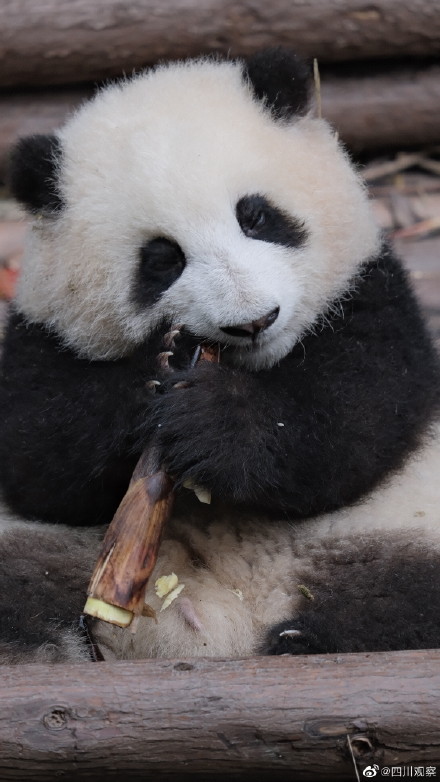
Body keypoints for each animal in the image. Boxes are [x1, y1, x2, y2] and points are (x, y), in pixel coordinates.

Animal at [0, 47, 440, 660]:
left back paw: (304, 639)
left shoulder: (370, 292)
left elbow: (358, 419)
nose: (252, 321)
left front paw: (214, 419)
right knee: (20, 596)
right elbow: (38, 459)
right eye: (162, 259)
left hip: (393, 533)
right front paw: (151, 382)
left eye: (255, 216)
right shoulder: (41, 336)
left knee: (406, 601)